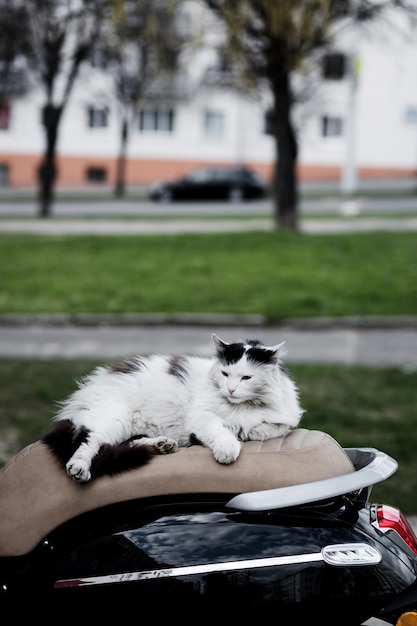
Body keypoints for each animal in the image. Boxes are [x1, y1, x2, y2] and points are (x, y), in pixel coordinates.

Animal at [43, 332, 302, 482]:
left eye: (246, 378)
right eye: (225, 374)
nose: (230, 390)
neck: (243, 407)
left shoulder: (283, 418)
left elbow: (272, 428)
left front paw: (252, 432)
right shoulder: (201, 418)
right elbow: (221, 433)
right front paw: (227, 451)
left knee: (127, 443)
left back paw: (163, 445)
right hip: (111, 420)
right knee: (89, 444)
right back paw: (79, 470)